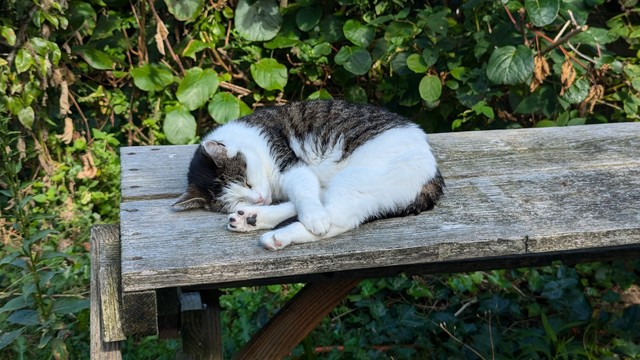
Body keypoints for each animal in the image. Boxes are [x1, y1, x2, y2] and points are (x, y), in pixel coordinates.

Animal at [174, 98, 444, 250]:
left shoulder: (290, 165)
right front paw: (252, 212)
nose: (258, 199)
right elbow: (304, 196)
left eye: (247, 183)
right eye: (236, 201)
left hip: (358, 178)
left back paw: (281, 234)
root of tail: (432, 173)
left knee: (337, 220)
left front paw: (313, 218)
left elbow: (304, 194)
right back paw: (251, 219)